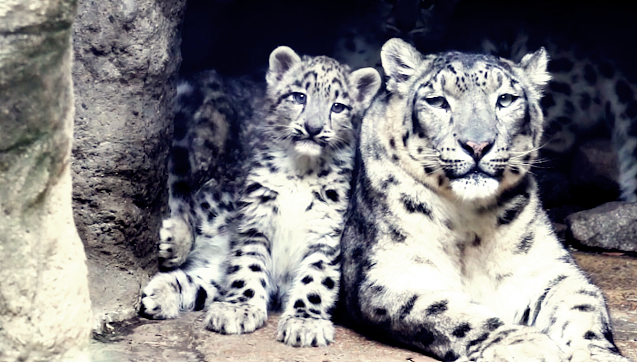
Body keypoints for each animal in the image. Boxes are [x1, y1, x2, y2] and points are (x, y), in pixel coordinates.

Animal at [139, 46, 380, 348]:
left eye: (338, 106)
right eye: (299, 96)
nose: (313, 128)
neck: (302, 171)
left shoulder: (325, 233)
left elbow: (316, 279)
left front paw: (305, 322)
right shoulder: (256, 218)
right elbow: (247, 265)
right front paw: (239, 308)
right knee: (191, 195)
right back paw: (173, 240)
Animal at [340, 39, 628, 362]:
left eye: (506, 99)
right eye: (437, 101)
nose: (477, 145)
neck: (469, 224)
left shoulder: (546, 270)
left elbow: (582, 305)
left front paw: (598, 354)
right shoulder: (395, 274)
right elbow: (447, 312)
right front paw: (525, 345)